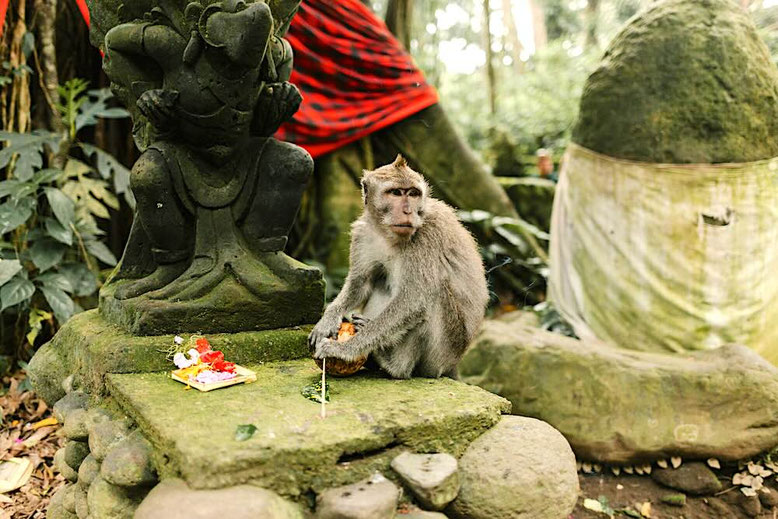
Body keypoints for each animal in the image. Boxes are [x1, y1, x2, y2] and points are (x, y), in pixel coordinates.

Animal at [309, 155, 489, 379]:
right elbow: (361, 283)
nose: (408, 211)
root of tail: (453, 363)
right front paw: (327, 320)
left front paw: (344, 350)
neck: (387, 234)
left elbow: (414, 301)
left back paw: (393, 364)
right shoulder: (363, 233)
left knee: (434, 292)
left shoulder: (425, 237)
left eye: (413, 193)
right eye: (395, 192)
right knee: (381, 281)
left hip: (443, 352)